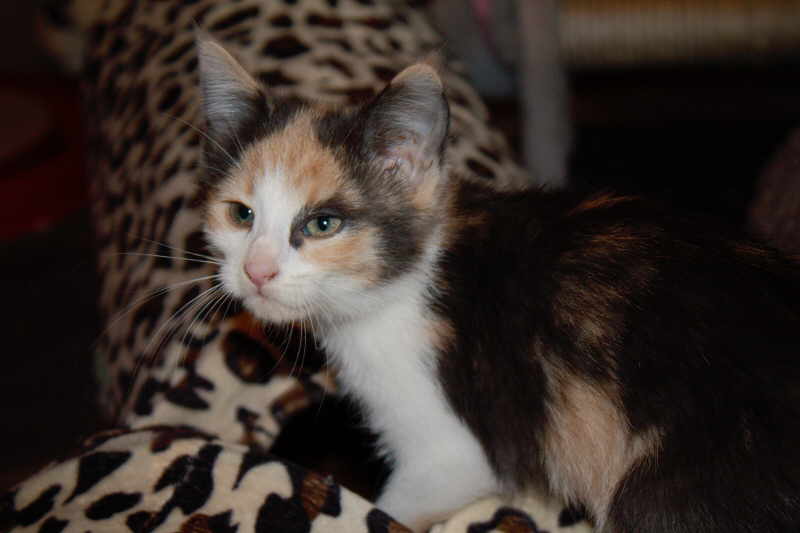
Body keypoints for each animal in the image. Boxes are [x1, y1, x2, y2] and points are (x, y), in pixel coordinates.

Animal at [196, 36, 800, 532]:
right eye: (240, 214)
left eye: (323, 224)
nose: (256, 271)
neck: (406, 282)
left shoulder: (454, 450)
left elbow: (394, 508)